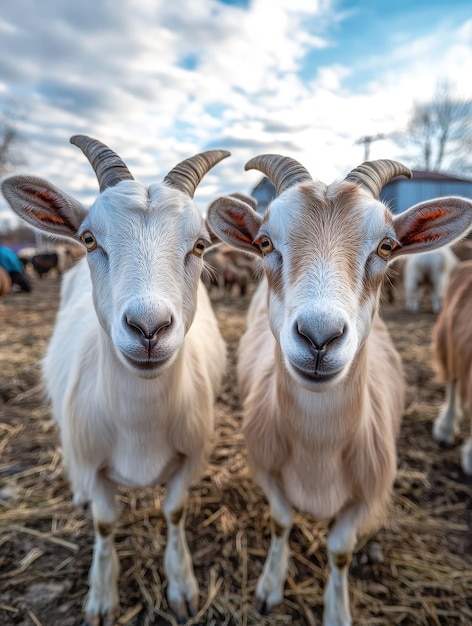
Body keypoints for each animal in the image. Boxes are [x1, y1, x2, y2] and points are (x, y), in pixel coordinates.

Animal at [0, 136, 229, 624]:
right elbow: (105, 523)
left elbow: (175, 512)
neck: (139, 425)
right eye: (89, 239)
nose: (149, 328)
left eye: (201, 245)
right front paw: (102, 598)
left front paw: (182, 587)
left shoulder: (191, 457)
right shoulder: (93, 460)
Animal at [206, 154, 472, 620]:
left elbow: (341, 551)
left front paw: (337, 611)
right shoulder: (268, 472)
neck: (318, 450)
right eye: (264, 243)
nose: (319, 338)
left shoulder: (366, 498)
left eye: (386, 247)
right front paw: (270, 588)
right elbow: (281, 522)